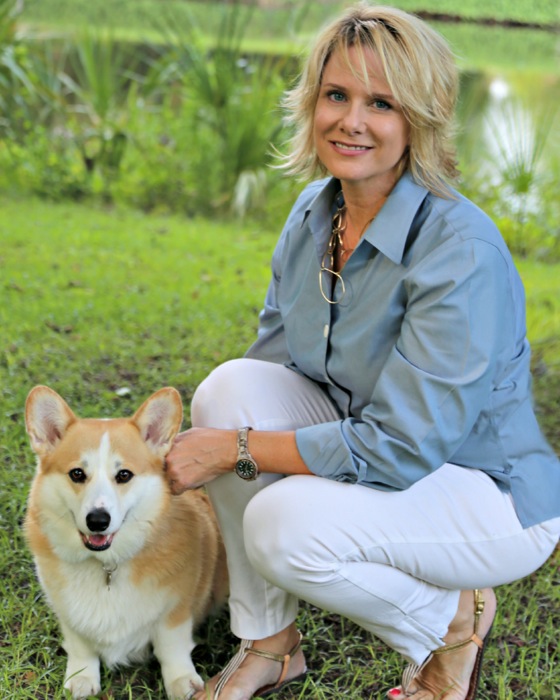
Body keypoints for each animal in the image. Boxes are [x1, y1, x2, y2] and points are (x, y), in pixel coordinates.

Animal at [23, 386, 230, 696]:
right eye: (77, 474)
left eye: (124, 475)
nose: (98, 520)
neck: (107, 565)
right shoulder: (67, 612)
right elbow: (80, 645)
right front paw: (82, 677)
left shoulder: (175, 611)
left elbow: (171, 647)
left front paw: (181, 682)